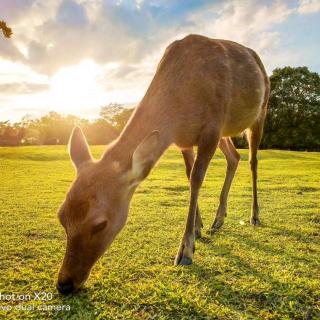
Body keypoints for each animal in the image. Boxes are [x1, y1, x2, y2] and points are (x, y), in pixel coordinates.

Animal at [56, 33, 268, 294]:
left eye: (100, 224)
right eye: (61, 216)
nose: (64, 284)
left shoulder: (212, 127)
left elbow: (197, 178)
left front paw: (186, 250)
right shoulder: (184, 140)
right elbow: (189, 175)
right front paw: (198, 227)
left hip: (260, 111)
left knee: (252, 160)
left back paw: (254, 216)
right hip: (226, 133)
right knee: (234, 157)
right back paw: (218, 220)